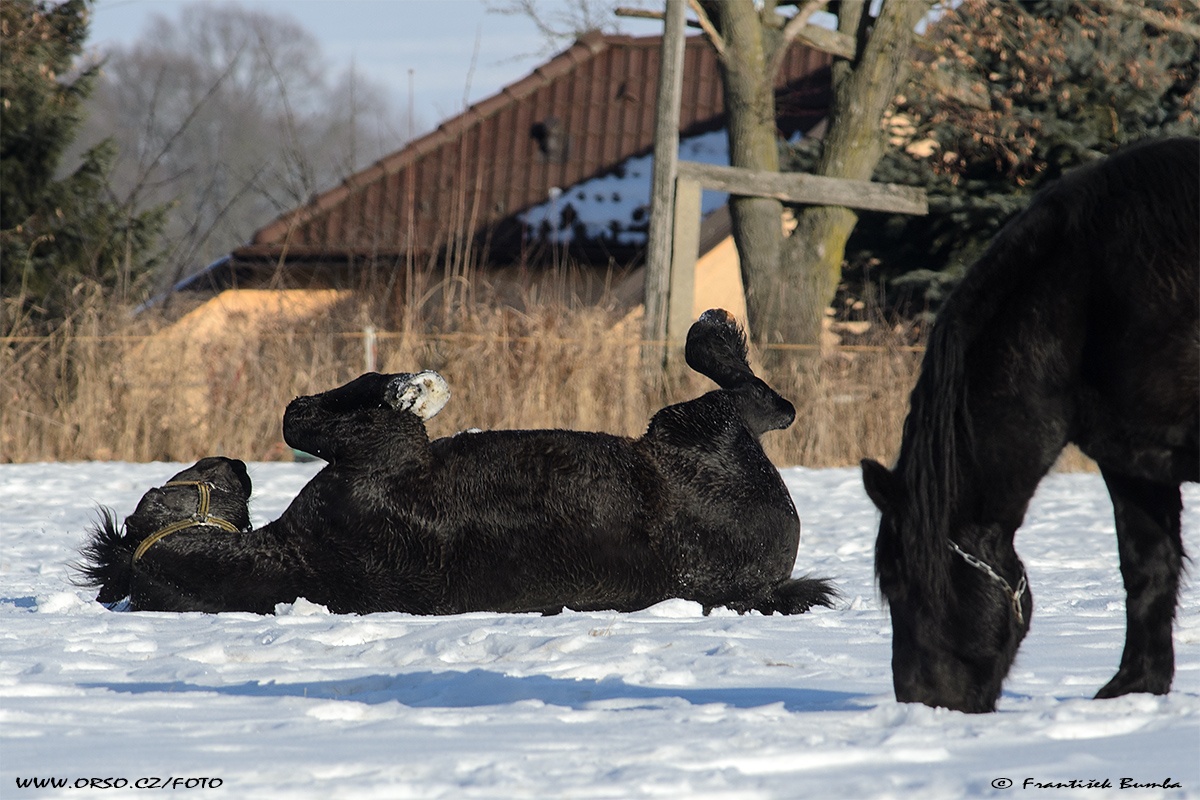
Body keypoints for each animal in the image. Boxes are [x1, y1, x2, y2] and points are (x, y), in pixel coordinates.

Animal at [82, 311, 835, 618]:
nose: (231, 463)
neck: (298, 559)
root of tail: (769, 579)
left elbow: (301, 412)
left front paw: (416, 386)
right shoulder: (382, 450)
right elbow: (300, 414)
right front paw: (418, 388)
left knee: (764, 402)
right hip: (688, 427)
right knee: (754, 396)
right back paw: (713, 332)